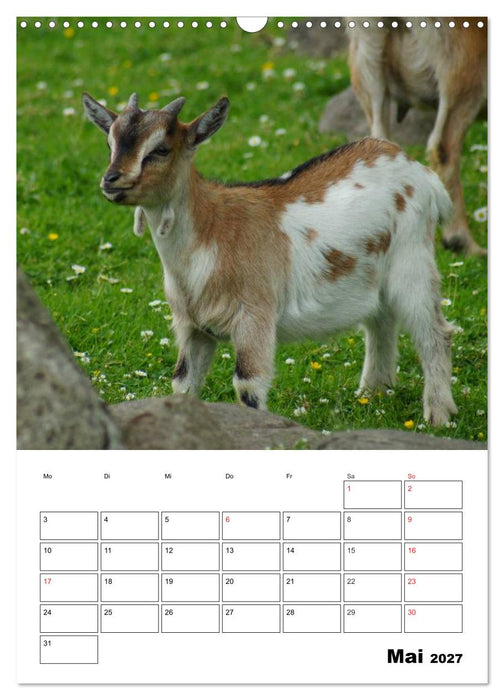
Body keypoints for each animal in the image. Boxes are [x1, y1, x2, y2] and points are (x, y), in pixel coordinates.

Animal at [82, 92, 457, 426]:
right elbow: (183, 382)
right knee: (380, 321)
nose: (111, 180)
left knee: (434, 333)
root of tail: (420, 172)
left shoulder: (254, 316)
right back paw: (372, 393)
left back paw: (438, 416)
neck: (212, 229)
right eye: (110, 143)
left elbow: (248, 384)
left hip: (413, 259)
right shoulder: (193, 327)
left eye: (161, 149)